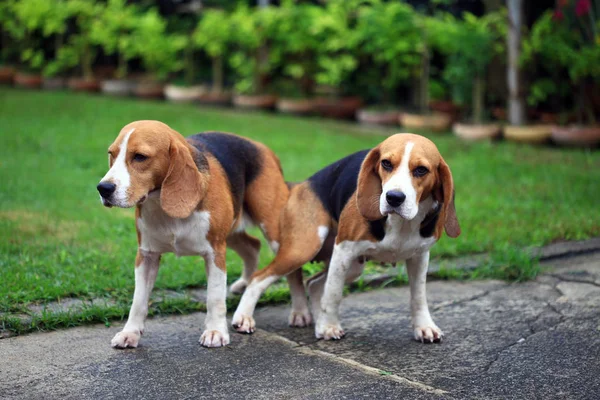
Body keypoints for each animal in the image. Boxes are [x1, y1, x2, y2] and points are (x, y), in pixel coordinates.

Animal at [96, 120, 288, 348]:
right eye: (112, 154)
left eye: (140, 157)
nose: (103, 188)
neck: (160, 204)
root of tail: (263, 148)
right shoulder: (146, 255)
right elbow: (139, 300)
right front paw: (130, 333)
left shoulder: (215, 252)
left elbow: (215, 296)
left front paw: (215, 331)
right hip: (232, 231)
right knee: (253, 246)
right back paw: (245, 284)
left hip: (273, 231)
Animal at [232, 133, 462, 342]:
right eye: (386, 163)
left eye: (421, 170)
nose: (394, 198)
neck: (401, 223)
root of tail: (299, 185)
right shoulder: (343, 250)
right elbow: (333, 293)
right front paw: (329, 327)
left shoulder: (420, 256)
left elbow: (419, 296)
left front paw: (424, 327)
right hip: (303, 248)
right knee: (259, 277)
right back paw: (243, 317)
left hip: (354, 266)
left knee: (314, 284)